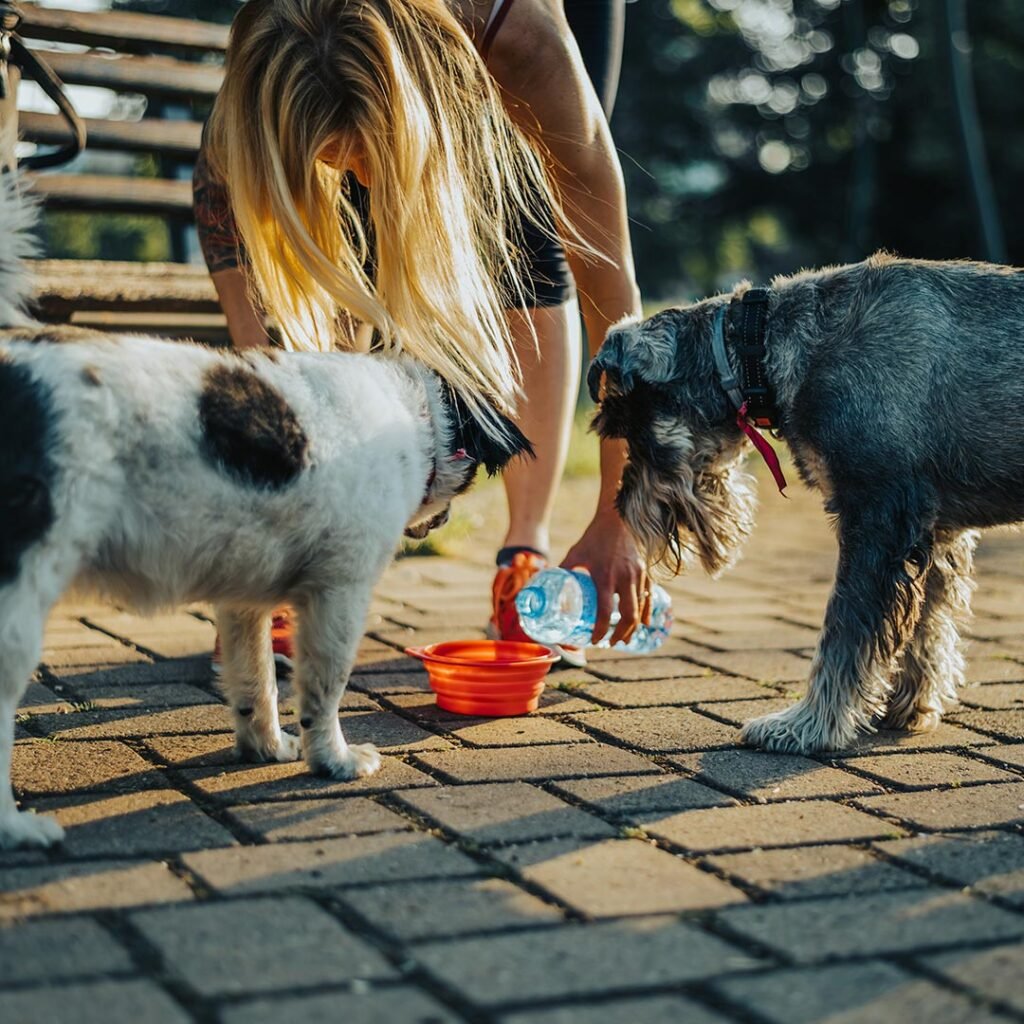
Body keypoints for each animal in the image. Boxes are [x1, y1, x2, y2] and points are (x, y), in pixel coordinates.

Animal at [0, 182, 528, 847]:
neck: (412, 408)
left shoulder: (242, 599)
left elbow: (254, 682)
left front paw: (265, 747)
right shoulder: (339, 590)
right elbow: (323, 686)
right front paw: (334, 760)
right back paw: (16, 827)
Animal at [585, 252, 1024, 753]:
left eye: (630, 431)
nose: (623, 506)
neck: (760, 349)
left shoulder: (876, 515)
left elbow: (843, 634)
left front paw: (808, 724)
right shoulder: (934, 530)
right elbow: (927, 626)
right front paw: (909, 705)